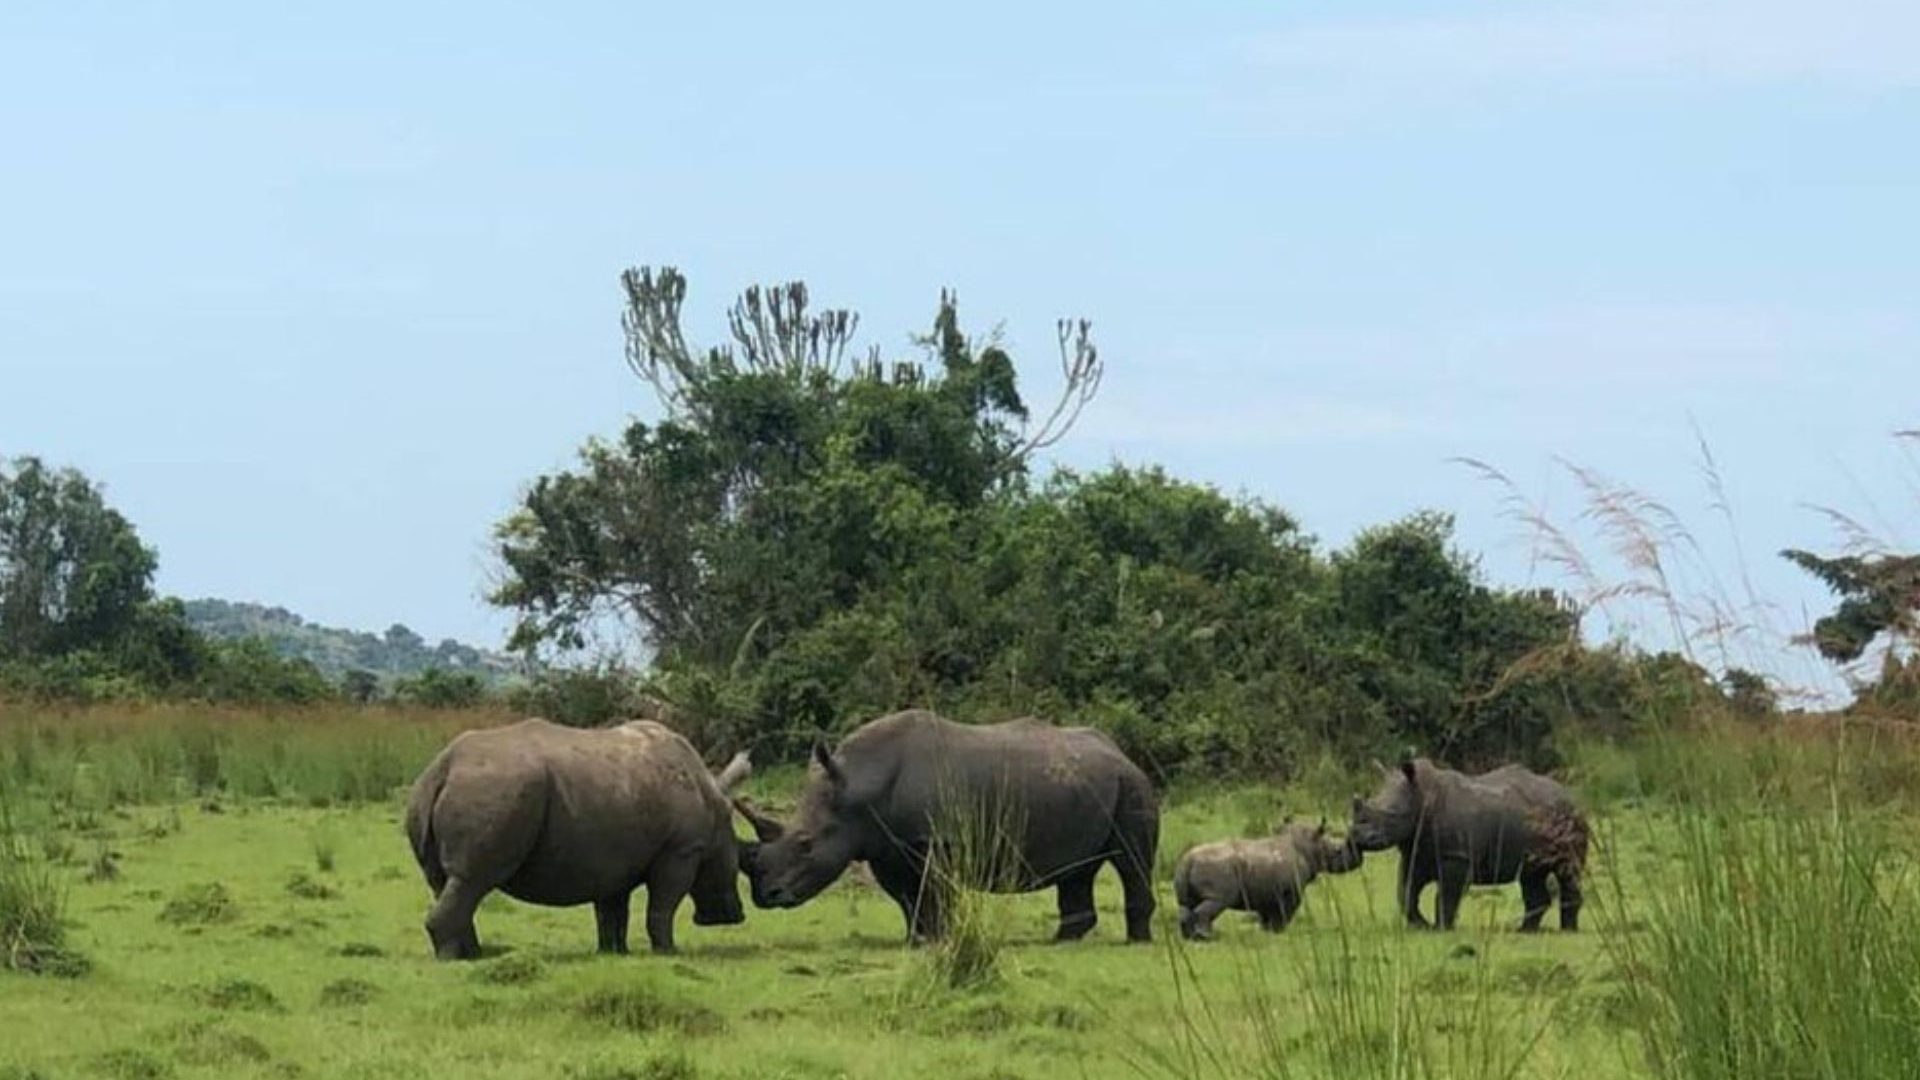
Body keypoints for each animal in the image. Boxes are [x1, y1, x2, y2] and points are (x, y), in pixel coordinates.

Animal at [403, 718, 752, 959]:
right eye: (737, 861)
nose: (730, 917)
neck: (714, 800)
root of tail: (444, 769)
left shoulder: (614, 859)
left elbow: (612, 910)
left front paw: (614, 953)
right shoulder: (682, 850)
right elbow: (663, 904)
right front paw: (668, 952)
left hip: (439, 794)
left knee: (447, 883)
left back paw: (475, 955)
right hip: (495, 789)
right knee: (473, 879)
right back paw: (457, 960)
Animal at [733, 710, 1160, 943]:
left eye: (805, 844)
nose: (766, 896)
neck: (858, 787)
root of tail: (1121, 752)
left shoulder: (937, 840)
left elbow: (935, 892)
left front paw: (941, 940)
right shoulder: (887, 847)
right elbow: (907, 897)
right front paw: (917, 940)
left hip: (1132, 786)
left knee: (1130, 861)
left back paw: (1136, 941)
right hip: (1089, 784)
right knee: (1077, 868)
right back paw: (1062, 940)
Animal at [1173, 819, 1363, 940]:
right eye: (1337, 851)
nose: (1357, 859)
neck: (1310, 847)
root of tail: (1188, 860)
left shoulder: (1265, 891)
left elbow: (1266, 913)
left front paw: (1267, 931)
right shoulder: (1290, 891)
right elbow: (1286, 912)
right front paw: (1279, 931)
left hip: (1183, 870)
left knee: (1185, 905)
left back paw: (1189, 937)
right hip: (1218, 873)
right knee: (1216, 901)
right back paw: (1207, 937)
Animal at [1349, 759, 1588, 932]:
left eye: (1393, 816)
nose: (1358, 837)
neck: (1422, 795)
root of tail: (1572, 797)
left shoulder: (1457, 855)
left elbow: (1446, 894)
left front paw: (1441, 928)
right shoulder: (1416, 851)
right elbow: (1406, 892)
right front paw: (1421, 925)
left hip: (1570, 822)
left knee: (1567, 872)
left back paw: (1568, 930)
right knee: (1531, 874)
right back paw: (1525, 931)